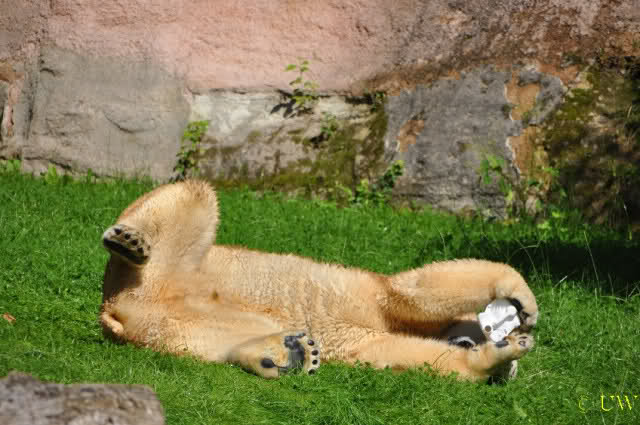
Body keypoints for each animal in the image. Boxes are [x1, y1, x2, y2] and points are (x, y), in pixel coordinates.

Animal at [100, 180, 538, 380]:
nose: (492, 338)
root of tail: (116, 309)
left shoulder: (372, 338)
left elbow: (402, 352)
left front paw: (500, 357)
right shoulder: (374, 295)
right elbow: (411, 291)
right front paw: (522, 301)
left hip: (173, 321)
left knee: (223, 338)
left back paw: (288, 354)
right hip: (172, 266)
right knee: (195, 193)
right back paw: (129, 242)